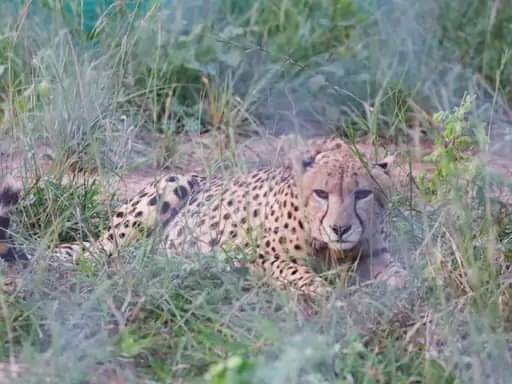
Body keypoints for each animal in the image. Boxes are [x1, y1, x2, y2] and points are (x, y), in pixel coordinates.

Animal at [2, 138, 406, 296]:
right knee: (108, 257)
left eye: (362, 194)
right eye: (321, 193)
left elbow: (401, 274)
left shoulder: (376, 255)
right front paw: (325, 292)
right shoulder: (258, 258)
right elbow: (298, 273)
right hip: (169, 189)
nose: (340, 228)